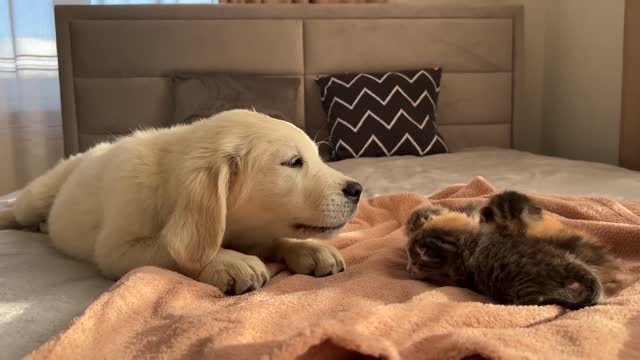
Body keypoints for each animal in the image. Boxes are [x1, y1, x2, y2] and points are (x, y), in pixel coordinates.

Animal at [0, 110, 360, 296]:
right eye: (294, 162)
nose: (357, 188)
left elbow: (273, 238)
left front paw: (310, 249)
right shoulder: (117, 249)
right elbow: (172, 248)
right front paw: (228, 261)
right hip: (39, 194)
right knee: (20, 208)